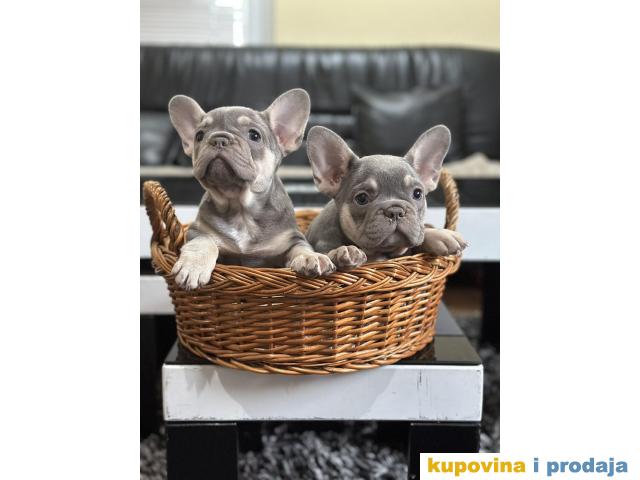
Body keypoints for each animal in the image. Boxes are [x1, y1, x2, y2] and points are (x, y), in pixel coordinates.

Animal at [168, 89, 335, 289]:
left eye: (254, 135)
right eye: (199, 136)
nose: (218, 138)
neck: (241, 210)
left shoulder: (292, 239)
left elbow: (301, 247)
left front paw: (312, 257)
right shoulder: (197, 231)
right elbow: (204, 241)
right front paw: (193, 266)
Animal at [305, 125, 468, 269]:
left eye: (417, 194)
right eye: (362, 198)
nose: (395, 211)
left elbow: (420, 234)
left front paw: (440, 235)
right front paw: (344, 251)